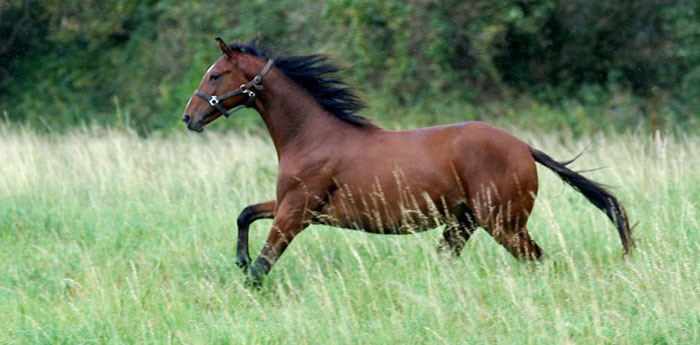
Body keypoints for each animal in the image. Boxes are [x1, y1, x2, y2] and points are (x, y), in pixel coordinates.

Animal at [182, 37, 636, 284]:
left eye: (216, 75)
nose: (189, 117)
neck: (311, 135)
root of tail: (523, 146)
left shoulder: (296, 211)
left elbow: (263, 265)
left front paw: (245, 279)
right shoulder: (293, 205)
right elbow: (245, 214)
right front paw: (238, 260)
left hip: (503, 224)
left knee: (537, 260)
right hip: (463, 224)